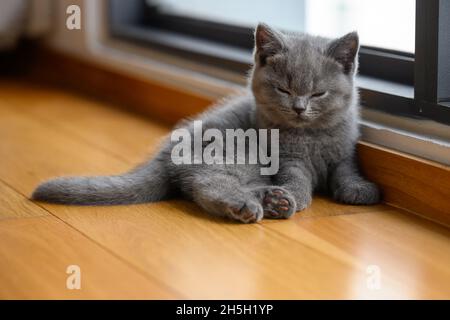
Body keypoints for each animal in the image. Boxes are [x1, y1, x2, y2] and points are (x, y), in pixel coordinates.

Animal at [32, 23, 380, 222]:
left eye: (319, 92)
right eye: (284, 89)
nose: (298, 108)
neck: (312, 136)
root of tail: (164, 156)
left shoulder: (345, 151)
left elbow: (347, 169)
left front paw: (359, 189)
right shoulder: (285, 158)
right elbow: (295, 176)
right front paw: (297, 194)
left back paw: (272, 201)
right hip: (236, 150)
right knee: (205, 183)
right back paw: (255, 205)